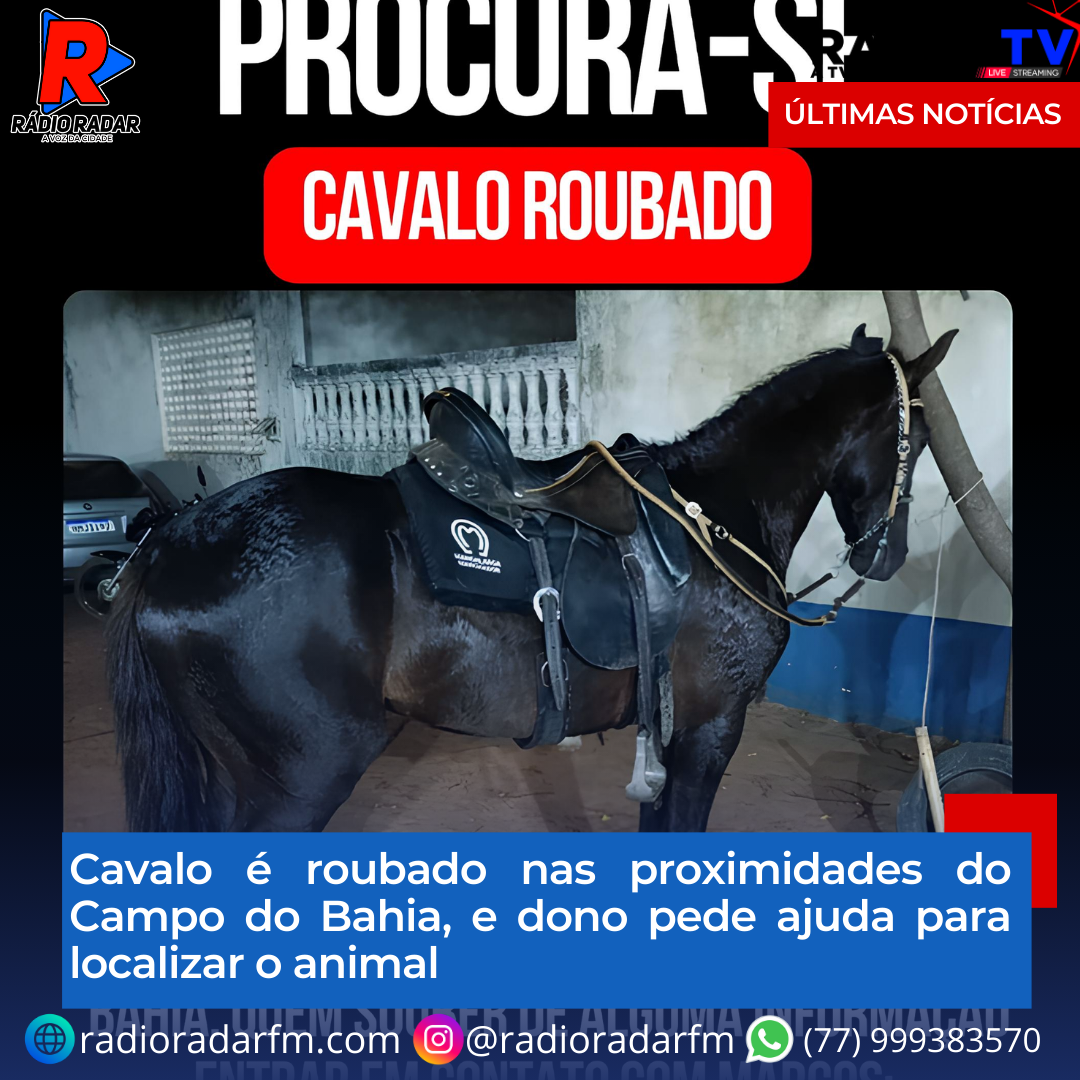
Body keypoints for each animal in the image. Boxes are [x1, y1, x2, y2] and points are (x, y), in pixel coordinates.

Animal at [106, 326, 957, 832]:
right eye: (918, 429)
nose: (884, 556)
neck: (712, 511)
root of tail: (171, 543)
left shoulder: (675, 729)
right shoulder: (713, 726)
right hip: (306, 773)